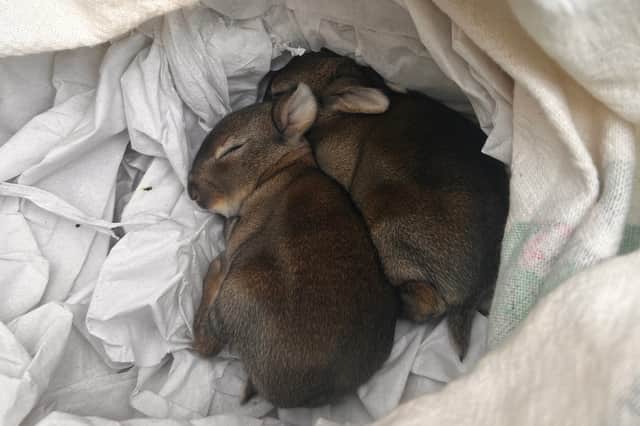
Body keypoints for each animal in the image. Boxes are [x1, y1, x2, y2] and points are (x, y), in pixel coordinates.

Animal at [187, 83, 397, 408]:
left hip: (240, 285)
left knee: (206, 342)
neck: (278, 171)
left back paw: (215, 269)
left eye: (233, 148)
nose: (191, 191)